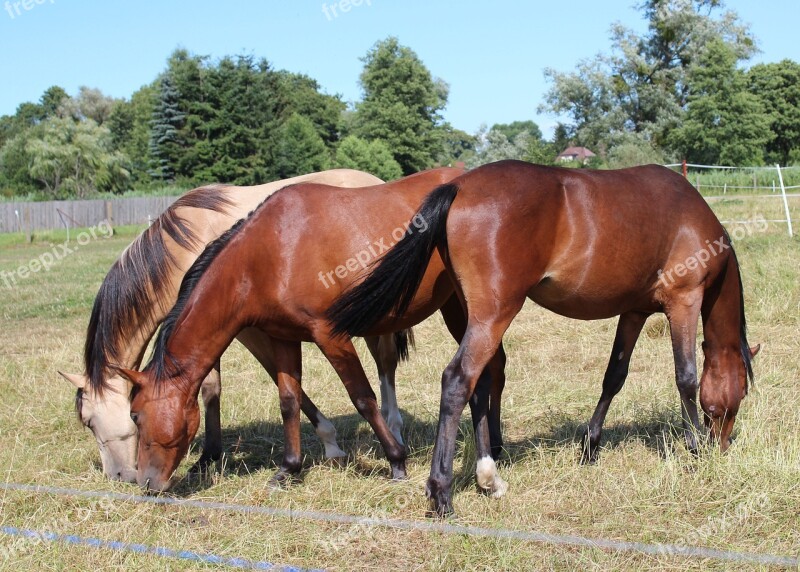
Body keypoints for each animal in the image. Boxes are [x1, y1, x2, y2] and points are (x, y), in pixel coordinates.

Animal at [57, 170, 412, 482]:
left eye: (89, 421)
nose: (118, 476)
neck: (182, 248)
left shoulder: (247, 329)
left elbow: (268, 379)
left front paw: (330, 442)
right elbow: (213, 388)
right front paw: (207, 458)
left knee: (385, 364)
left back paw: (394, 428)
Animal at [328, 159, 760, 516]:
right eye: (740, 394)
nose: (723, 446)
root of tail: (459, 187)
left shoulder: (634, 312)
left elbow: (614, 377)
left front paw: (590, 446)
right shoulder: (683, 302)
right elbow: (686, 378)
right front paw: (695, 447)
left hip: (473, 317)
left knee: (480, 386)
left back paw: (488, 476)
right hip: (493, 315)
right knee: (457, 381)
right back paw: (442, 492)